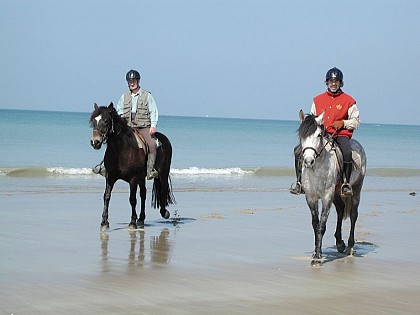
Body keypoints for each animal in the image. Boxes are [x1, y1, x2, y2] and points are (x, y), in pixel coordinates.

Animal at [89, 102, 175, 231]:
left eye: (105, 121)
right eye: (93, 121)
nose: (95, 142)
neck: (120, 150)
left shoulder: (133, 178)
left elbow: (132, 199)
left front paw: (132, 222)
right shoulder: (110, 177)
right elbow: (107, 196)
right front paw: (104, 222)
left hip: (162, 173)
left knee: (163, 189)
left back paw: (164, 213)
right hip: (142, 177)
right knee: (143, 194)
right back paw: (141, 219)